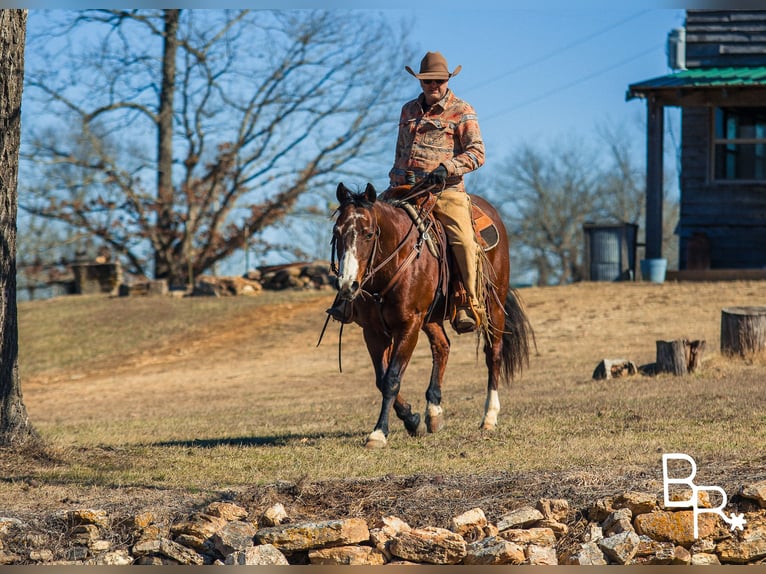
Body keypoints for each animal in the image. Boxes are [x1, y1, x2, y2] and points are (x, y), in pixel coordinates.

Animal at [330, 181, 536, 450]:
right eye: (337, 232)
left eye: (369, 233)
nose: (347, 284)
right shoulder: (373, 332)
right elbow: (381, 379)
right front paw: (412, 419)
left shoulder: (409, 325)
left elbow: (391, 379)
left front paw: (379, 432)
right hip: (432, 318)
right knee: (442, 346)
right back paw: (434, 412)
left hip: (493, 304)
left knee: (494, 354)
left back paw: (489, 417)